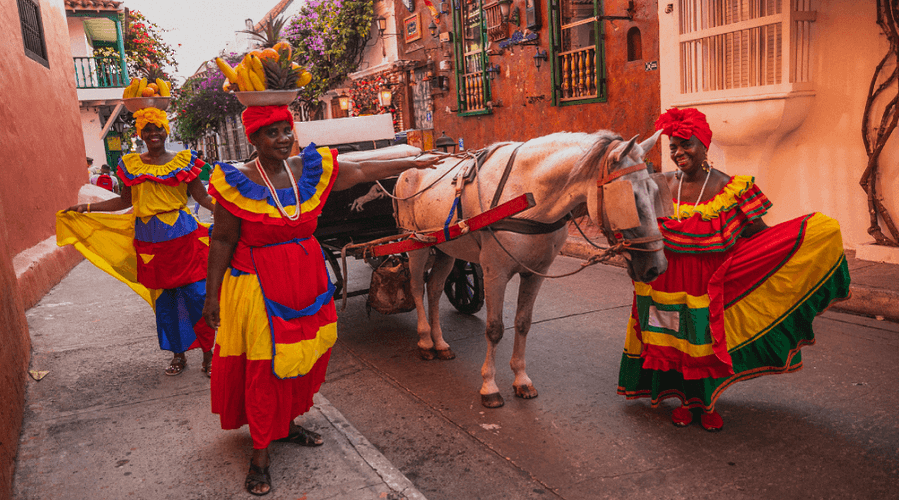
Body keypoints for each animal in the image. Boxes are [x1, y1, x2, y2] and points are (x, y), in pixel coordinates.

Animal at [396, 131, 668, 408]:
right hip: (415, 243)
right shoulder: (495, 273)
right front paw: (489, 385)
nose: (657, 267)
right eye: (630, 197)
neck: (527, 194)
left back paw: (440, 343)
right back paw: (425, 341)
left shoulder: (535, 273)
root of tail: (412, 165)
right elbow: (494, 329)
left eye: (655, 191)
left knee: (434, 289)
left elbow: (523, 323)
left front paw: (521, 379)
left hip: (444, 250)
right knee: (417, 289)